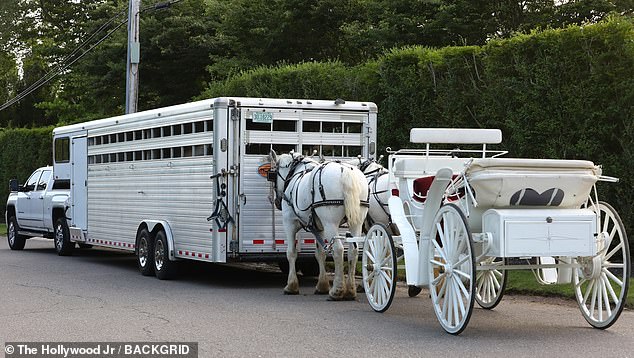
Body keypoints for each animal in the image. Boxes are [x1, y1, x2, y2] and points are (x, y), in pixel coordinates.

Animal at [270, 151, 368, 300]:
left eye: (274, 175)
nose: (277, 201)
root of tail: (345, 171)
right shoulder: (319, 227)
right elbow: (320, 253)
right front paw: (322, 285)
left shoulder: (289, 223)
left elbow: (291, 253)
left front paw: (291, 286)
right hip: (356, 223)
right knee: (353, 251)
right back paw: (350, 291)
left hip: (331, 223)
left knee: (338, 250)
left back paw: (337, 291)